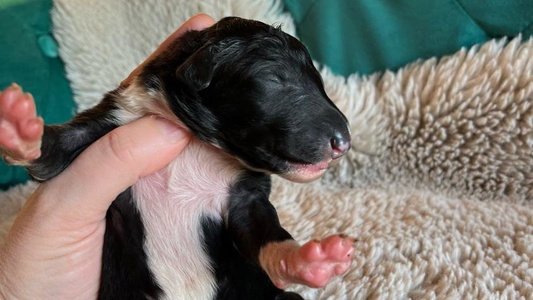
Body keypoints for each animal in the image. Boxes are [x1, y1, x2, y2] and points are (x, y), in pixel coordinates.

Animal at [1, 17, 354, 300]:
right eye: (275, 79)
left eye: (320, 82)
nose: (344, 142)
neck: (198, 143)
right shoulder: (111, 121)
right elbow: (53, 152)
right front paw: (19, 126)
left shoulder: (244, 198)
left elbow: (264, 232)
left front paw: (310, 260)